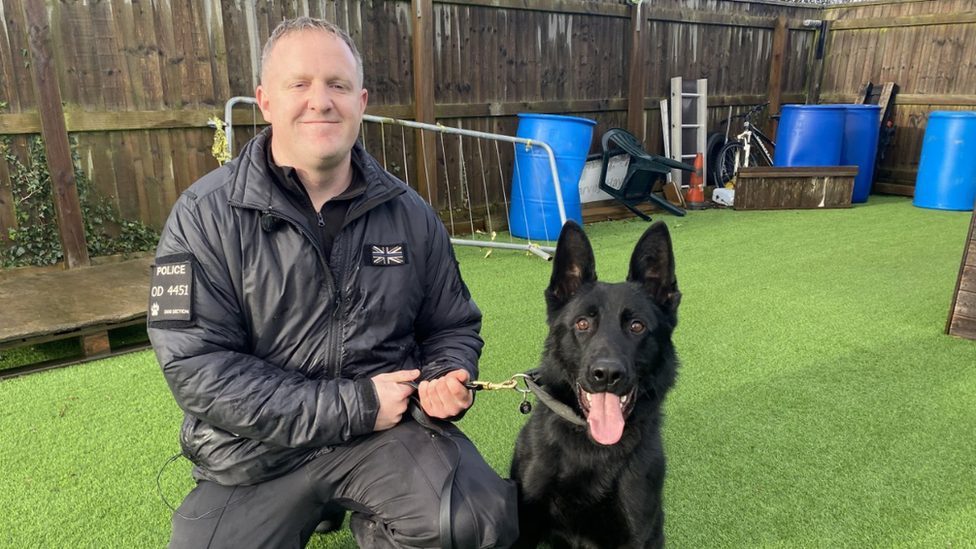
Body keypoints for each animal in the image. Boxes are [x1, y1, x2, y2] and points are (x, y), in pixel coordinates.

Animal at [510, 219, 680, 548]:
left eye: (637, 326)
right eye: (582, 323)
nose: (608, 374)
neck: (591, 449)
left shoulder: (634, 534)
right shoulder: (524, 526)